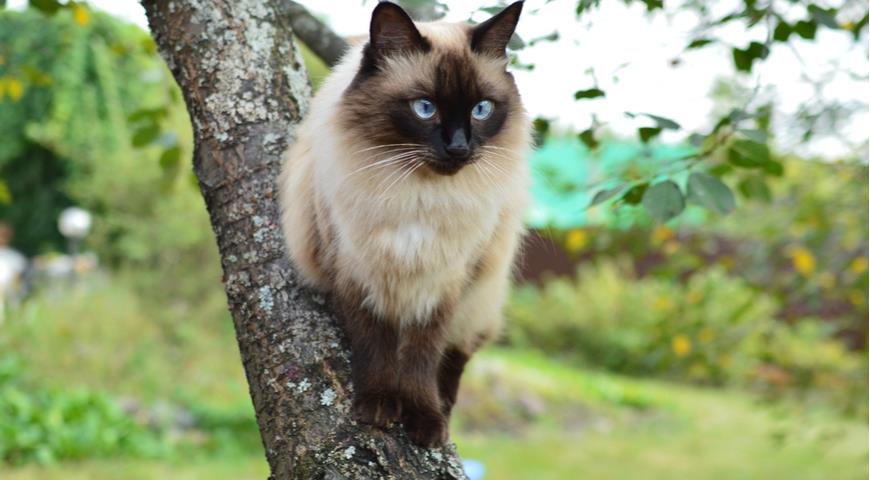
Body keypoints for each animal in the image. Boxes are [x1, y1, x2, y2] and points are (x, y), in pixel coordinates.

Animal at [280, 1, 532, 448]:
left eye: (481, 109)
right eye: (424, 108)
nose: (459, 147)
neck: (417, 197)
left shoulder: (443, 284)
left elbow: (422, 359)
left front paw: (425, 421)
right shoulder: (359, 272)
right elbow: (375, 345)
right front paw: (379, 408)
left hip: (479, 294)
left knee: (455, 359)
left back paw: (444, 410)